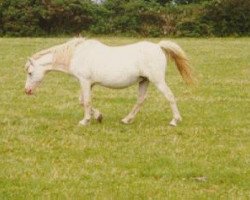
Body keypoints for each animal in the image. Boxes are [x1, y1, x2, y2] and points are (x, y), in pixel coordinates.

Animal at [24, 37, 193, 126]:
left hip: (157, 80)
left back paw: (175, 120)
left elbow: (86, 101)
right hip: (144, 81)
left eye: (30, 73)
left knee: (169, 97)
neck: (77, 54)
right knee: (140, 101)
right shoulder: (89, 84)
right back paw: (126, 120)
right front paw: (98, 116)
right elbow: (82, 101)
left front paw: (85, 120)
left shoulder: (84, 81)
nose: (27, 91)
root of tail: (158, 46)